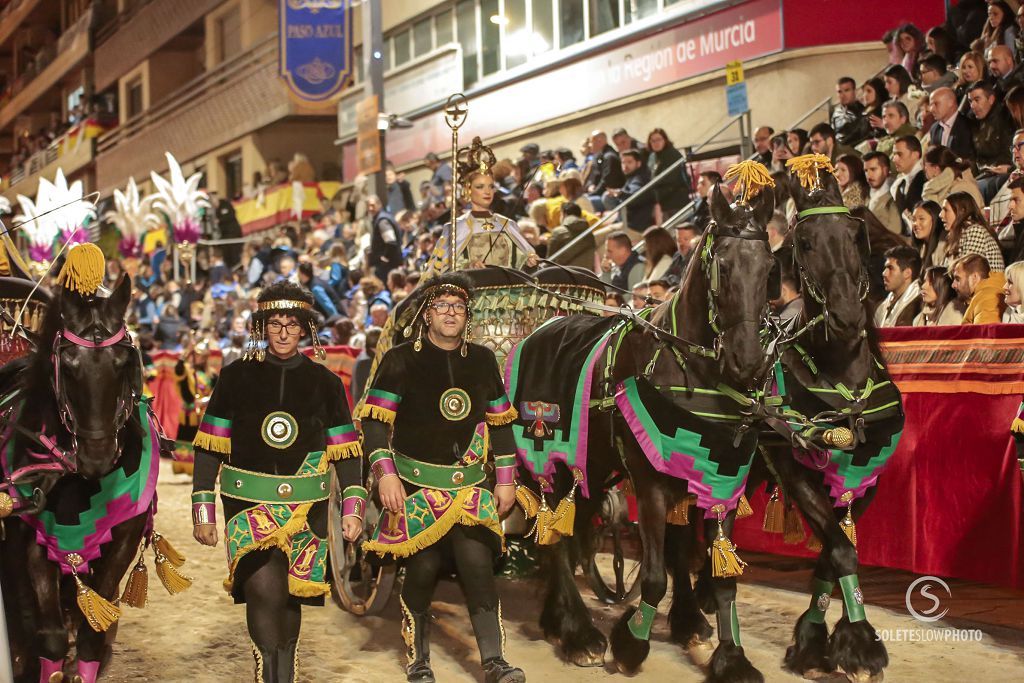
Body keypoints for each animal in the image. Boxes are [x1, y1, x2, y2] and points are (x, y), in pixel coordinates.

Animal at [1, 274, 155, 683]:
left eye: (123, 363)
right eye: (68, 366)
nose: (96, 454)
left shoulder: (123, 539)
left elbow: (92, 633)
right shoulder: (34, 538)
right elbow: (51, 637)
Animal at [507, 184, 778, 679]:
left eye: (770, 269)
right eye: (724, 266)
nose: (748, 361)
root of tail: (540, 330)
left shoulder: (722, 475)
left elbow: (720, 575)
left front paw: (730, 657)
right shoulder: (650, 480)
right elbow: (653, 577)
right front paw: (631, 643)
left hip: (591, 463)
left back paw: (558, 617)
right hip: (547, 458)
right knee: (555, 539)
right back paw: (578, 632)